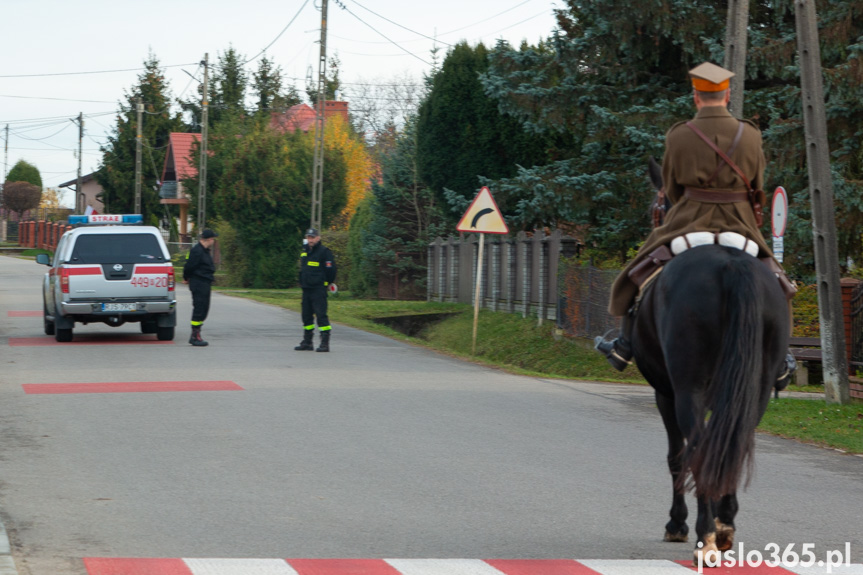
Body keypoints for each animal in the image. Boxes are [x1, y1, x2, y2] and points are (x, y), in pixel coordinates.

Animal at [636, 160, 788, 564]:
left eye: (656, 207)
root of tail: (731, 265)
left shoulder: (666, 393)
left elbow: (677, 455)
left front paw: (677, 523)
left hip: (687, 390)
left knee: (700, 450)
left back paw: (704, 536)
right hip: (756, 389)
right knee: (736, 441)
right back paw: (724, 527)